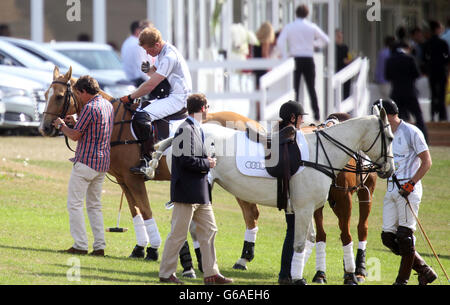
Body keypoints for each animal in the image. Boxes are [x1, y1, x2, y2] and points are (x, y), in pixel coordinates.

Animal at [151, 108, 394, 282]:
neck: (322, 154)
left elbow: (310, 239)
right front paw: (298, 278)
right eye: (390, 138)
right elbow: (300, 243)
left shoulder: (309, 208)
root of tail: (177, 136)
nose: (389, 170)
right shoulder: (305, 208)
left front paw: (297, 274)